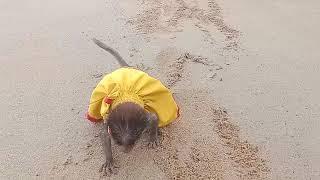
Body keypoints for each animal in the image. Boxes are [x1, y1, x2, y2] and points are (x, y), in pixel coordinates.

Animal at [86, 38, 179, 175]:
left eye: (135, 140)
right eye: (118, 143)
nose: (126, 151)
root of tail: (125, 68)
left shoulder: (144, 116)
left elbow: (154, 117)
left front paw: (153, 137)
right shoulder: (108, 119)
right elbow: (104, 135)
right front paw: (109, 161)